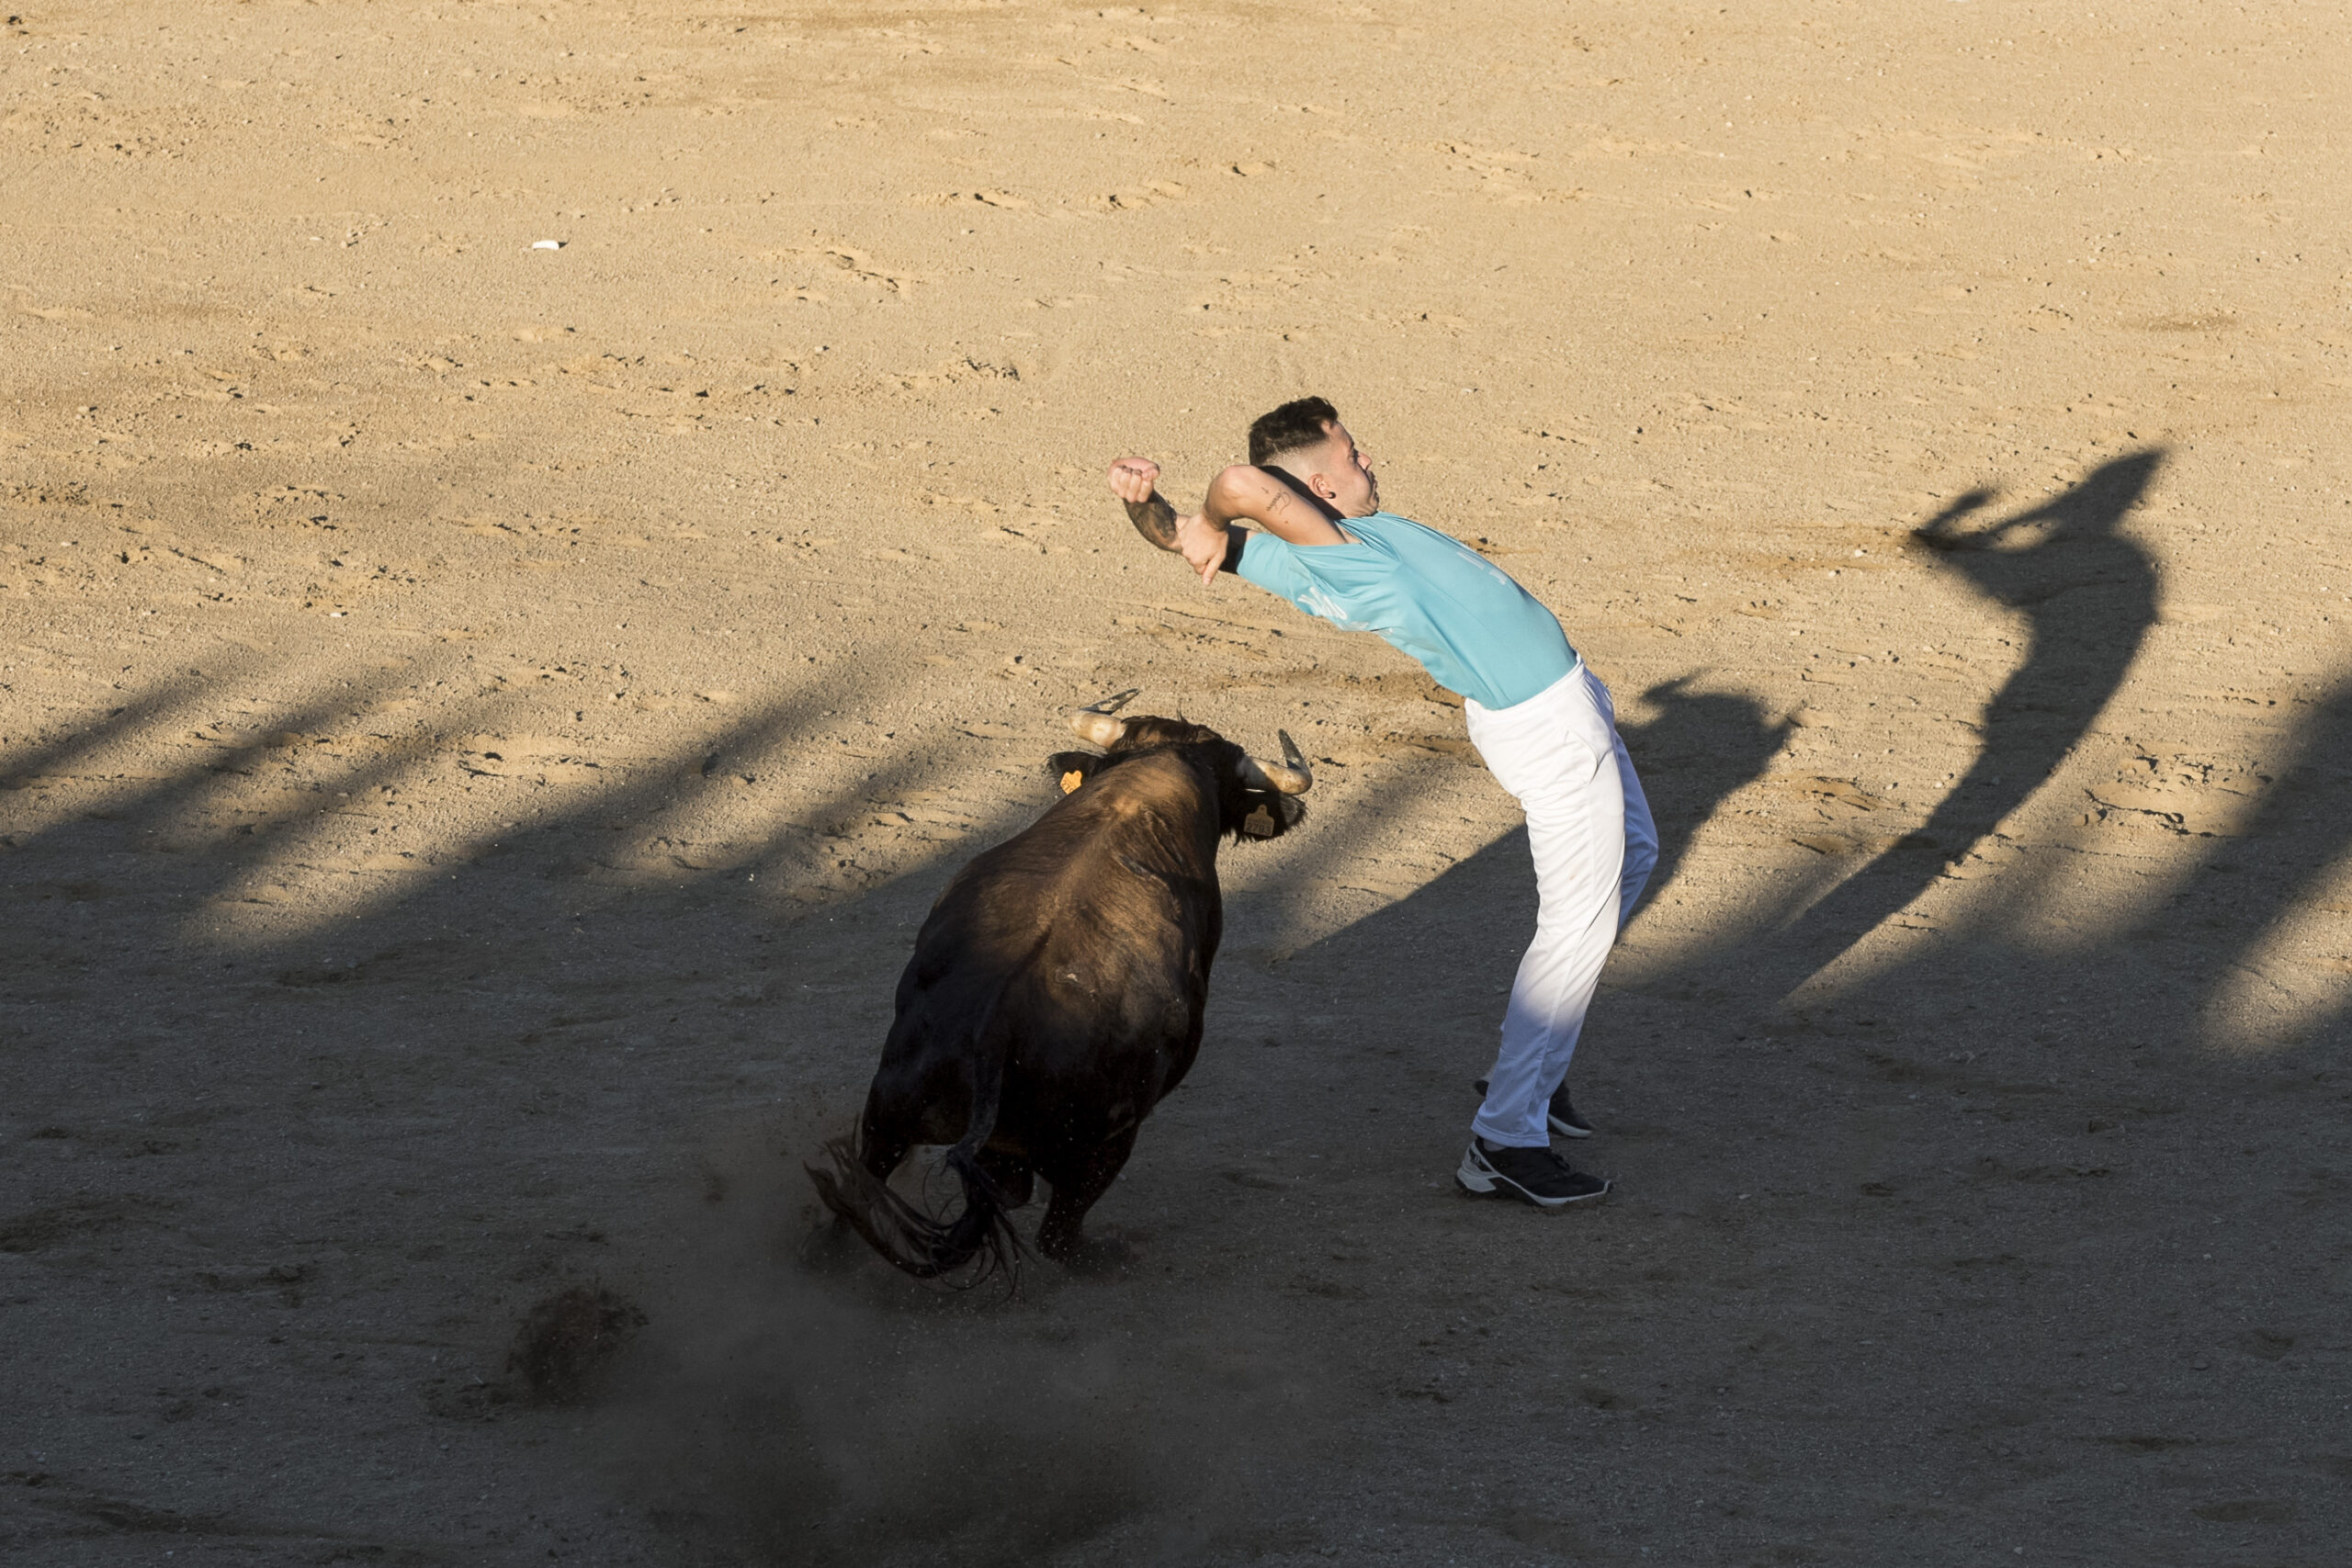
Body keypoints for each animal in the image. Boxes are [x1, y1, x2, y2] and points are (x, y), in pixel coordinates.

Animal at [813, 691, 1317, 1279]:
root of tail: (996, 1031)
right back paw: (1106, 1257)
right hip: (1100, 1148)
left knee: (864, 1189)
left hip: (888, 1110)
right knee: (1058, 1233)